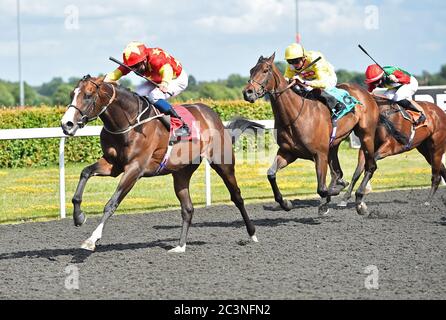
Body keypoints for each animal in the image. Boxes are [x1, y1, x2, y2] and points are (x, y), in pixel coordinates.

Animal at [60, 75, 260, 252]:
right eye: (71, 94)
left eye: (88, 95)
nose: (66, 124)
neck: (129, 123)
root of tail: (212, 115)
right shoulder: (113, 164)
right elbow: (85, 173)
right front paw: (79, 217)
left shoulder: (135, 169)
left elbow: (112, 203)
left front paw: (92, 239)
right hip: (181, 172)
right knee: (188, 208)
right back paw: (180, 246)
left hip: (222, 162)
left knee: (237, 196)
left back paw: (252, 234)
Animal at [242, 53, 378, 216]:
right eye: (251, 70)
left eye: (265, 70)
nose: (247, 92)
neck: (295, 115)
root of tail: (364, 92)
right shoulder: (288, 152)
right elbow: (271, 173)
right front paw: (286, 203)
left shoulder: (319, 154)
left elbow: (322, 189)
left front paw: (334, 192)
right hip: (334, 144)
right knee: (338, 170)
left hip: (366, 135)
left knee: (370, 166)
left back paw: (359, 200)